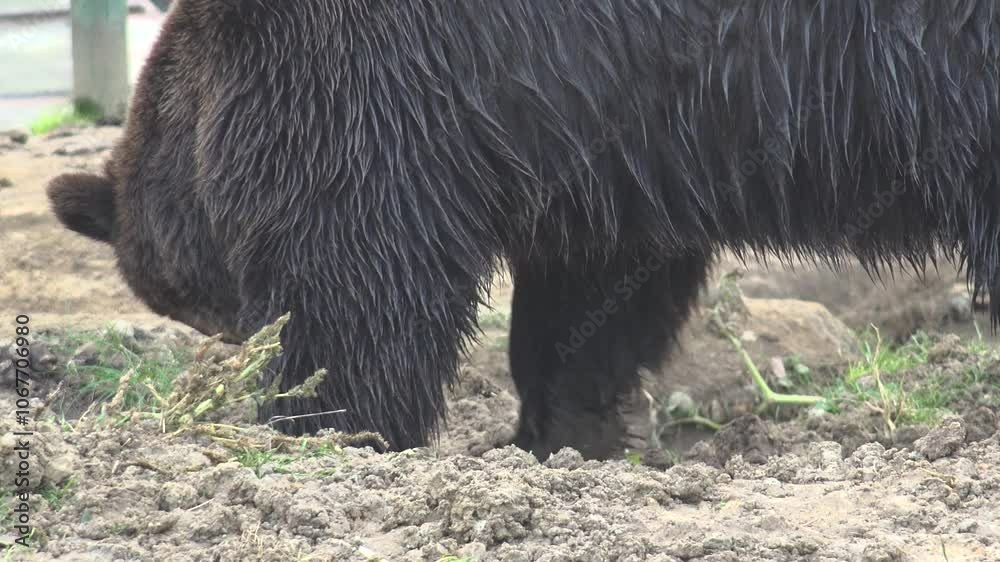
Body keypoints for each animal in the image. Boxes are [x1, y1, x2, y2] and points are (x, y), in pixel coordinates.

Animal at [48, 0, 999, 460]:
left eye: (205, 307)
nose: (236, 348)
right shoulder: (605, 134)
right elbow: (594, 289)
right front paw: (566, 432)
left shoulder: (373, 88)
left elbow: (353, 277)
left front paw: (326, 422)